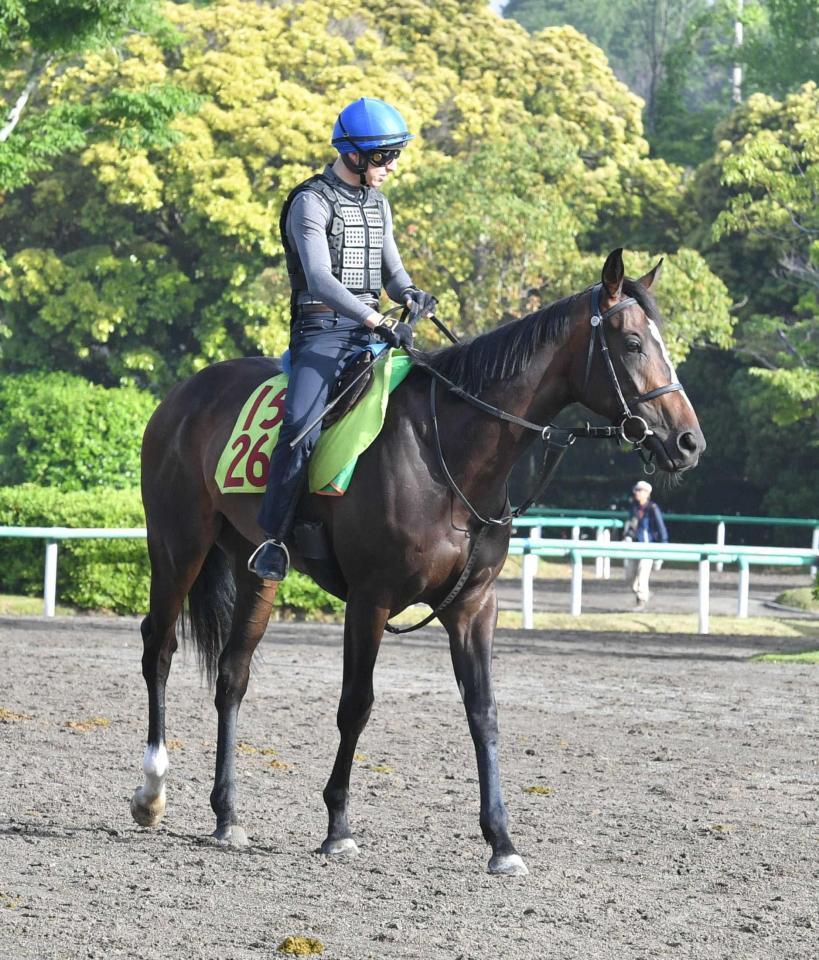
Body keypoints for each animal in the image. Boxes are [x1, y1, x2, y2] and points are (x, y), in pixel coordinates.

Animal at [130, 248, 705, 875]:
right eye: (632, 343)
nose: (688, 442)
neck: (445, 451)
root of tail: (183, 395)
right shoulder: (370, 599)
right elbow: (356, 705)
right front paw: (338, 826)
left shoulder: (474, 606)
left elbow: (483, 711)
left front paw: (502, 841)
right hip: (178, 546)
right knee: (159, 648)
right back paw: (151, 790)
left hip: (255, 570)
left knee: (232, 674)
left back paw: (227, 814)